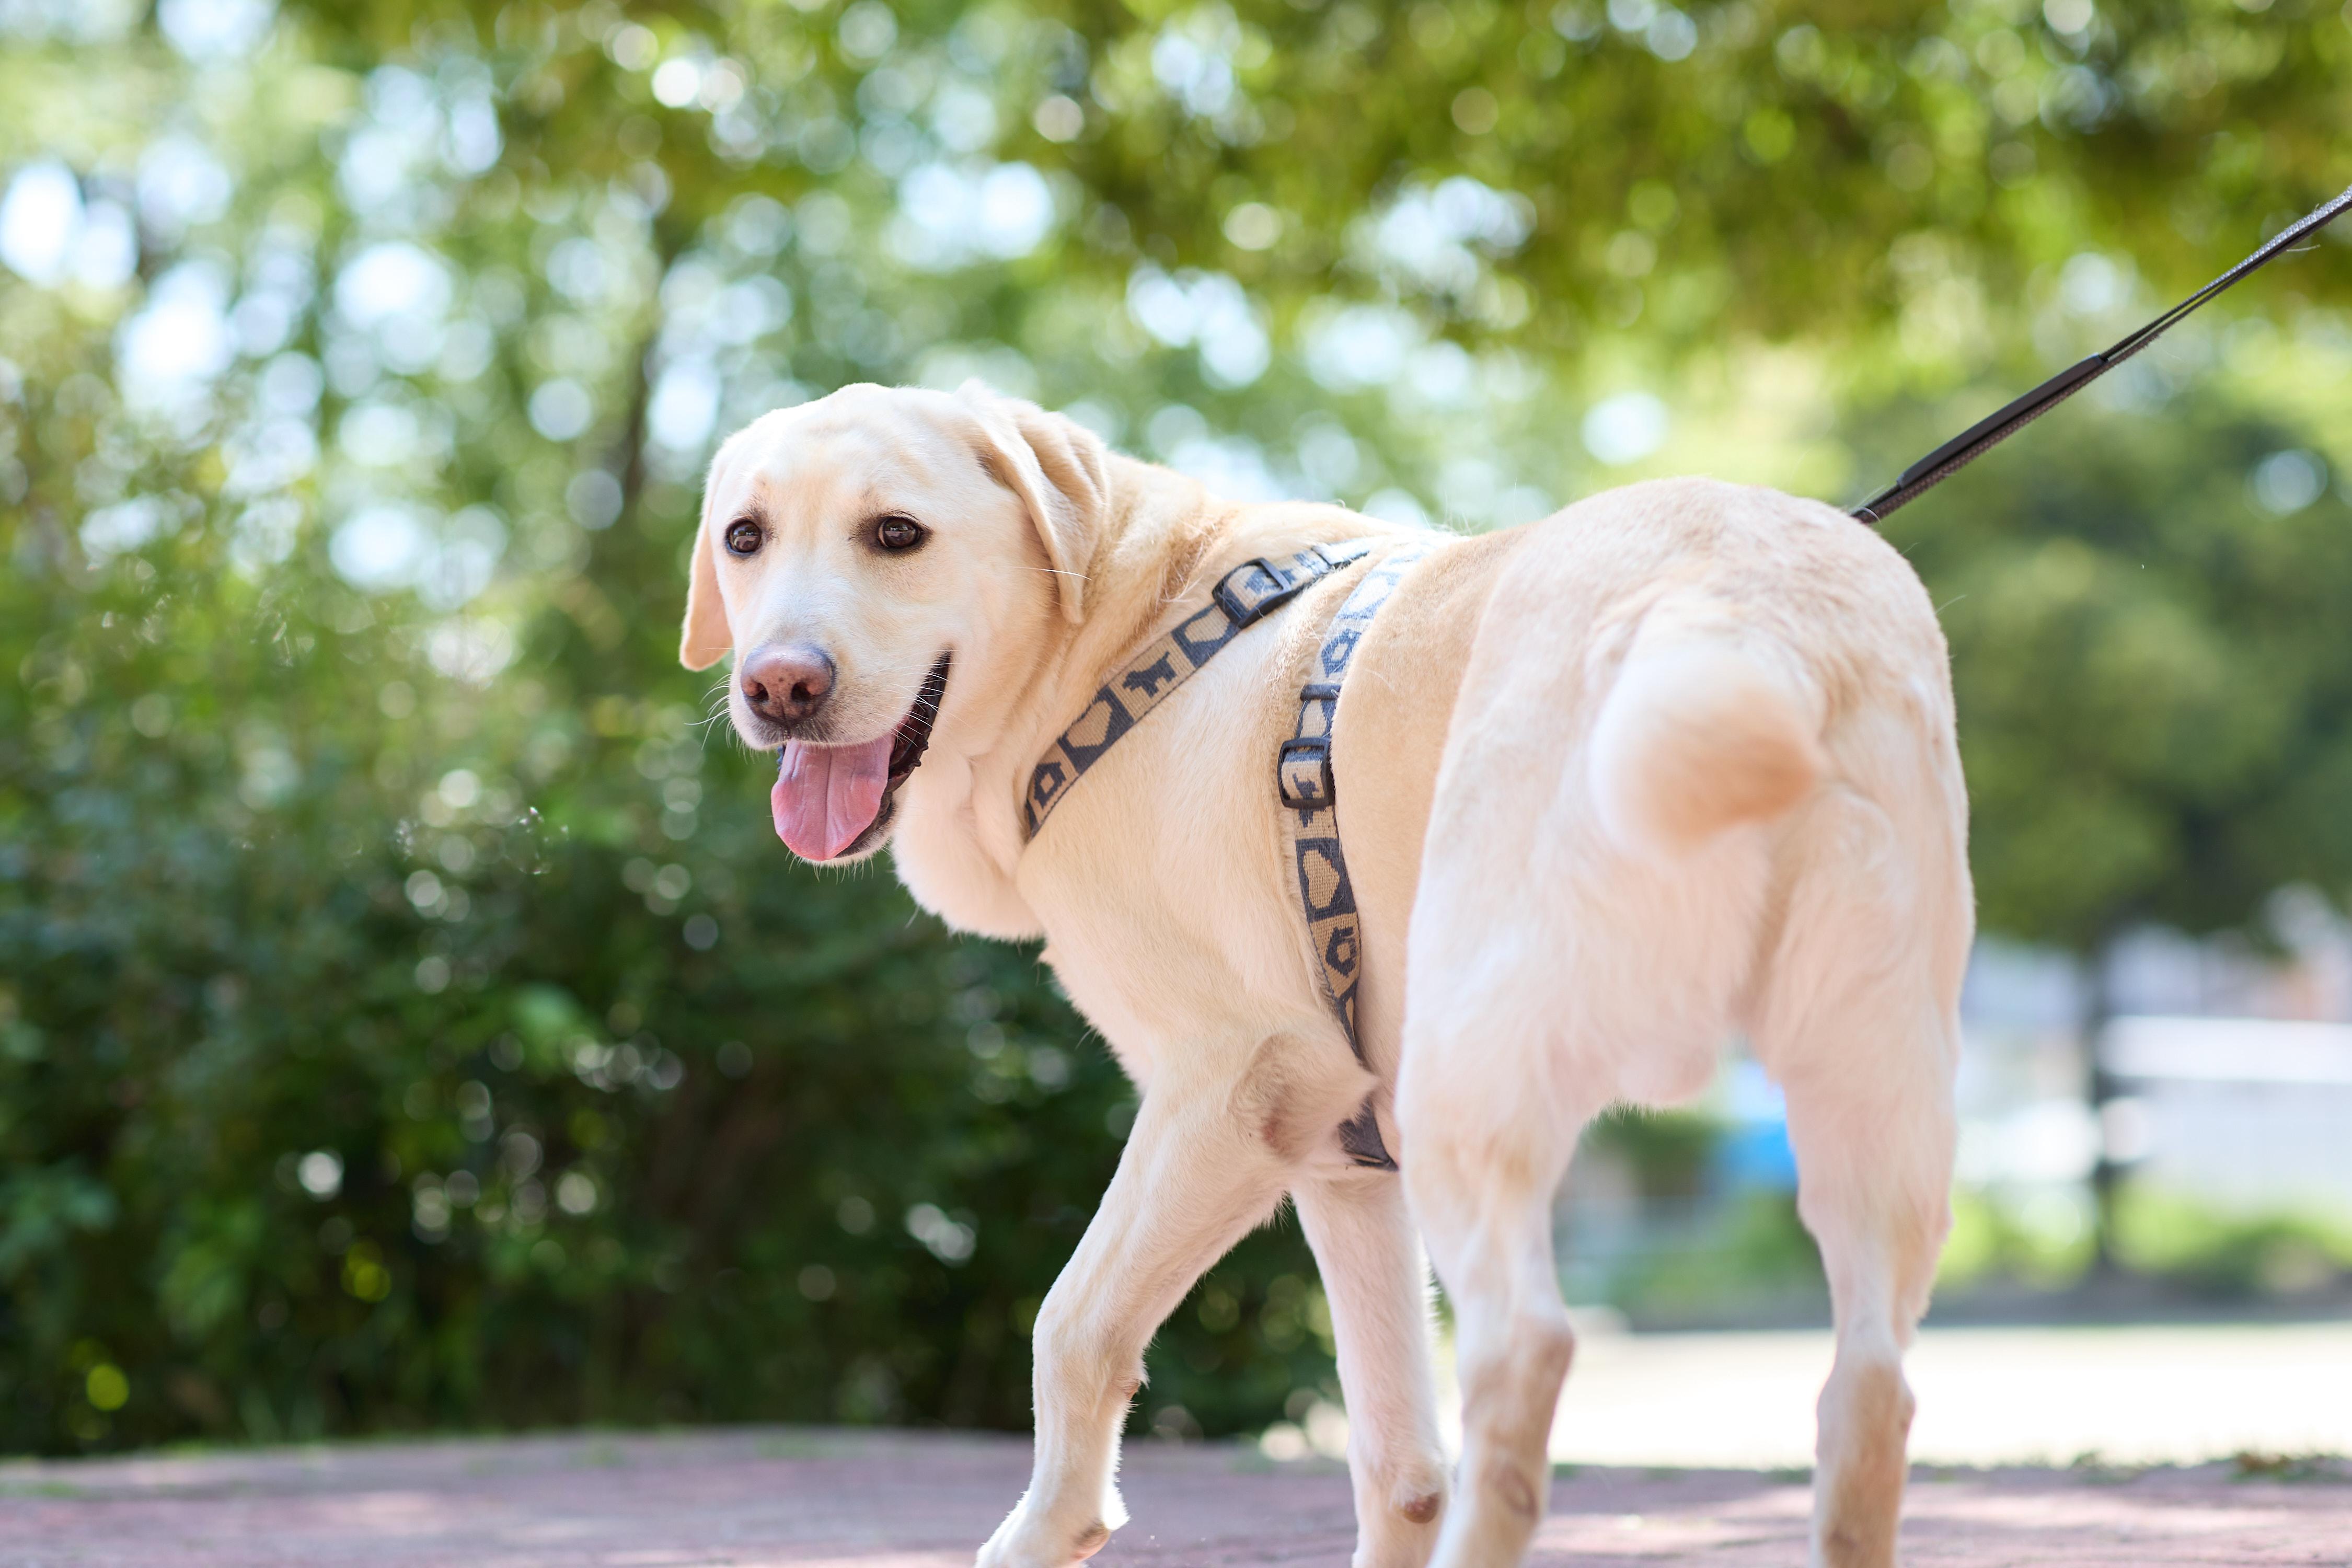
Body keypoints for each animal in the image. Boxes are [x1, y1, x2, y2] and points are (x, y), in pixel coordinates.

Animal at [677, 381, 1966, 1568]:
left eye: (896, 533)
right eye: (745, 538)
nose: (777, 685)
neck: (1118, 645)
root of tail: (1743, 601)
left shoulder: (1228, 1085)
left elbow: (1070, 1324)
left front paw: (1046, 1529)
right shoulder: (1345, 1162)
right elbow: (1397, 1460)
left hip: (1475, 1088)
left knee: (1530, 1350)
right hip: (1875, 1096)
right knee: (1872, 1389)